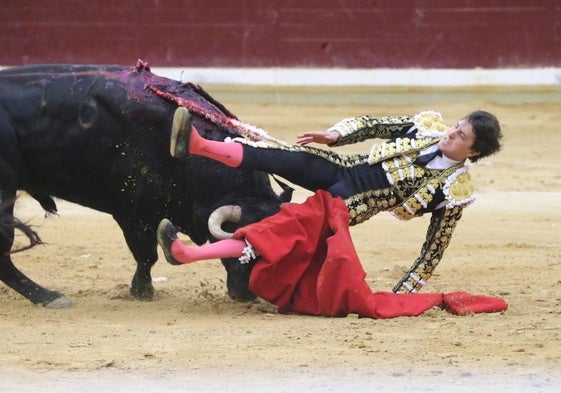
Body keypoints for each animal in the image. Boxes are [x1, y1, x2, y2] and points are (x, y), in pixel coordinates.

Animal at [0, 62, 288, 306]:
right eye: (241, 244)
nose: (248, 295)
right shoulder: (132, 211)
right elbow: (147, 254)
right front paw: (142, 291)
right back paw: (47, 297)